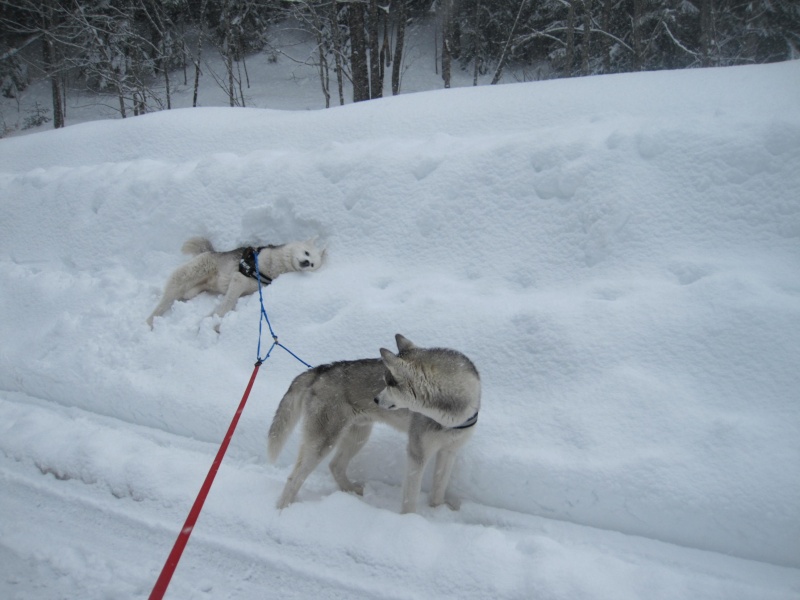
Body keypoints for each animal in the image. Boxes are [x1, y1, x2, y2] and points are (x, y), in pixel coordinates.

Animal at [147, 237, 322, 328]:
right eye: (307, 253)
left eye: (313, 264)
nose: (306, 262)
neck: (276, 266)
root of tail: (211, 251)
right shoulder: (239, 278)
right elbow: (228, 303)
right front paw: (211, 321)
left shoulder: (250, 286)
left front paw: (211, 321)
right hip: (186, 276)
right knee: (165, 301)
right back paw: (149, 322)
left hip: (193, 290)